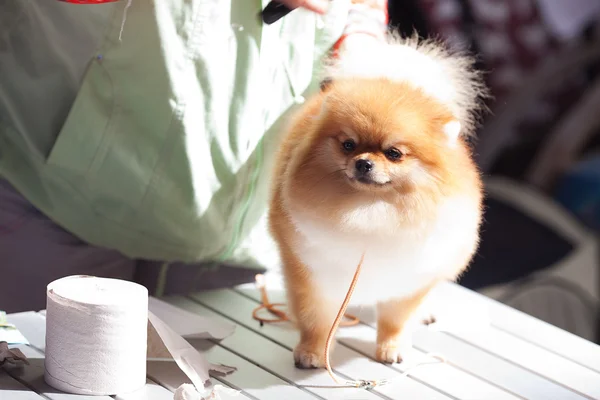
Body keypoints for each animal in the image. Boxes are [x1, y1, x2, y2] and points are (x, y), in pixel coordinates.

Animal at [268, 34, 488, 368]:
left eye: (394, 153)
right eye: (348, 145)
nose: (363, 163)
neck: (369, 210)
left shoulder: (408, 280)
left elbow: (397, 319)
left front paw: (392, 347)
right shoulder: (315, 273)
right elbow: (317, 319)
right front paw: (312, 351)